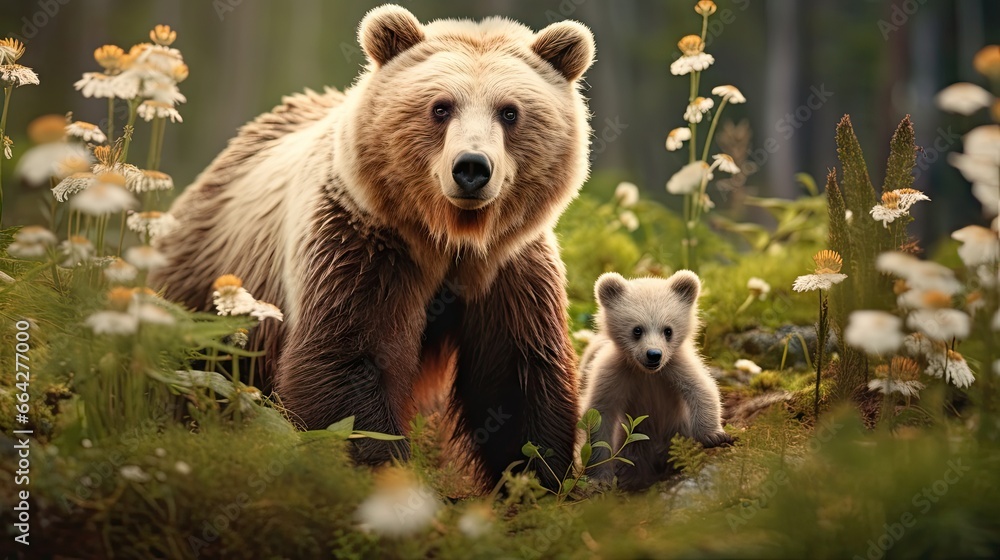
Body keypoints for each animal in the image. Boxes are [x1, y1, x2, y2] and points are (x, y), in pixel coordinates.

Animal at [150, 4, 595, 490]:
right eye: (441, 107)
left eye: (510, 111)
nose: (472, 167)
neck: (449, 238)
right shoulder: (364, 245)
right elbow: (347, 362)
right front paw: (381, 466)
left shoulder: (507, 268)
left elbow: (517, 375)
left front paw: (537, 479)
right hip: (213, 286)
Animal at [578, 271, 732, 490]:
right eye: (637, 330)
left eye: (668, 330)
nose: (653, 355)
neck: (647, 374)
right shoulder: (615, 373)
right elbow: (600, 415)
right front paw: (599, 478)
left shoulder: (674, 367)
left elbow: (702, 389)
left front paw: (715, 435)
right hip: (633, 446)